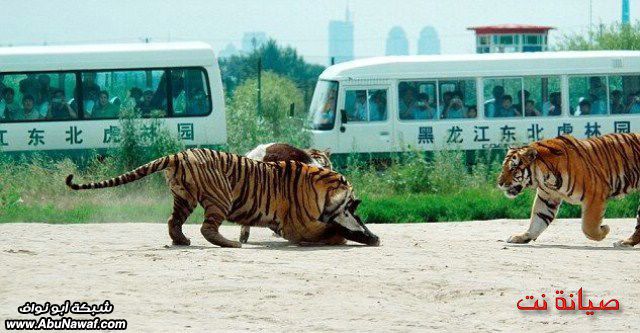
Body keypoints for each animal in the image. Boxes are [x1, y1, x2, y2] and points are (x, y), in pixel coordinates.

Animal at [65, 148, 380, 246]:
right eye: (352, 202)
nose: (357, 201)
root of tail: (179, 154)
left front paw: (371, 236)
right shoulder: (298, 226)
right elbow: (334, 231)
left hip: (184, 198)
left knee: (172, 222)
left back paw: (181, 241)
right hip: (220, 197)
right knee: (207, 228)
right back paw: (230, 244)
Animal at [498, 133, 640, 246]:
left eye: (513, 168)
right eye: (504, 167)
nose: (499, 183)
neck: (545, 178)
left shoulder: (596, 194)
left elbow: (588, 227)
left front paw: (604, 230)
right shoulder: (547, 198)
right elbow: (537, 220)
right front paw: (522, 237)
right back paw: (627, 242)